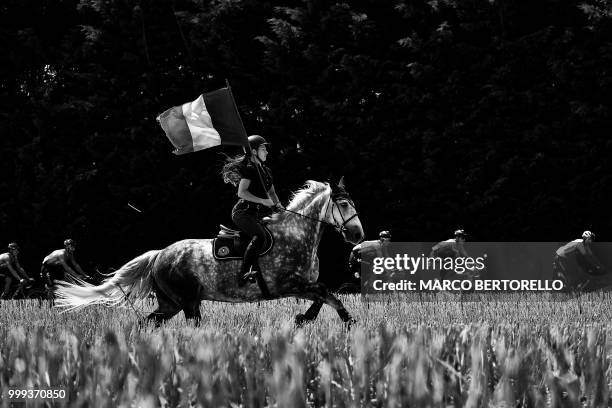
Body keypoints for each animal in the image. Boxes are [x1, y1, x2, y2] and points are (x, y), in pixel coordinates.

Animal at [55, 180, 364, 326]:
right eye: (344, 204)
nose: (358, 235)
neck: (296, 233)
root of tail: (159, 254)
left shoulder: (303, 286)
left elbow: (326, 296)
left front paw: (309, 319)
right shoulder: (289, 284)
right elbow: (327, 294)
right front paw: (343, 323)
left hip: (171, 303)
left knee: (148, 323)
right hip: (187, 301)